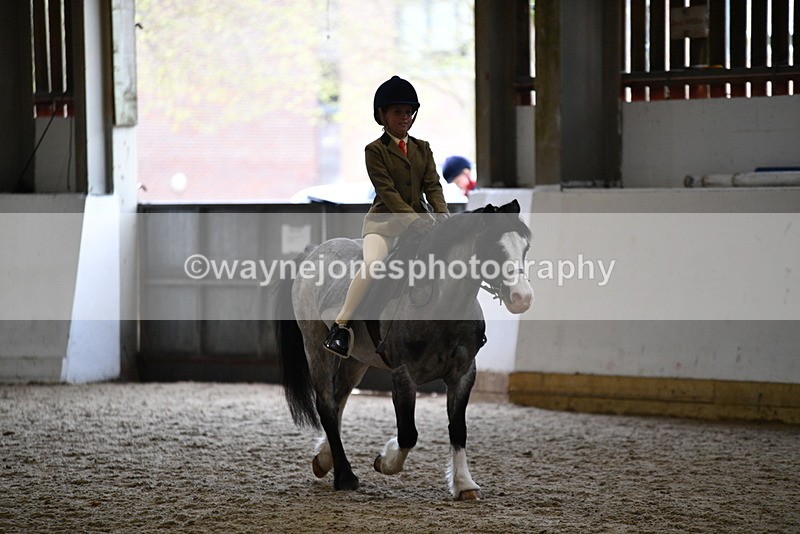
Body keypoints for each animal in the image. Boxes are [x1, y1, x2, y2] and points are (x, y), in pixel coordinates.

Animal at [272, 199, 533, 500]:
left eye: (525, 248)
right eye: (494, 248)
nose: (523, 298)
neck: (442, 303)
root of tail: (312, 252)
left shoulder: (464, 374)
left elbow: (458, 429)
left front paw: (464, 484)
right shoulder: (404, 375)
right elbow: (408, 434)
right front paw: (385, 461)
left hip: (356, 360)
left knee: (339, 401)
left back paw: (325, 459)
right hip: (315, 345)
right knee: (326, 404)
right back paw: (345, 476)